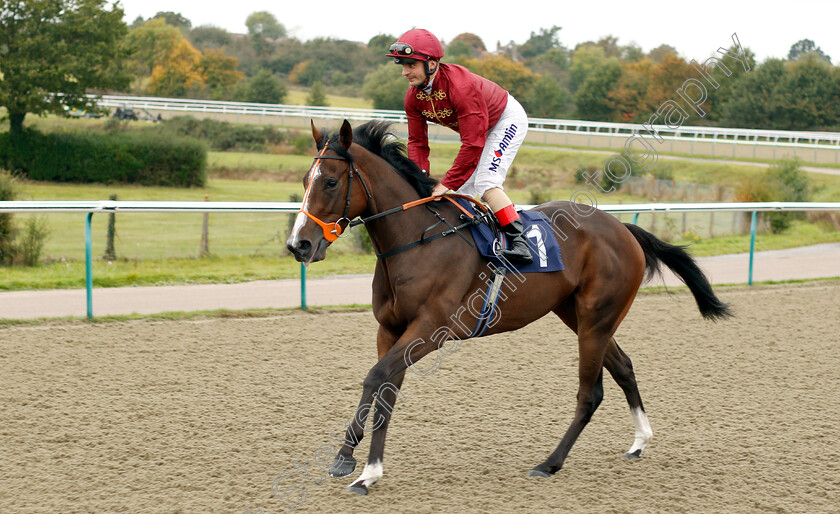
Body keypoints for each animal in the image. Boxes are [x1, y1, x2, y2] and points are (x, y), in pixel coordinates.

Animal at [286, 119, 732, 492]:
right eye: (306, 179)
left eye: (329, 182)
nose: (299, 244)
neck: (417, 240)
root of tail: (622, 228)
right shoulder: (391, 328)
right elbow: (382, 388)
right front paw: (348, 460)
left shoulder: (430, 330)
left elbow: (378, 378)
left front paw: (368, 472)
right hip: (578, 316)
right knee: (623, 367)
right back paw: (639, 441)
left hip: (596, 319)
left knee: (589, 393)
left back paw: (549, 463)